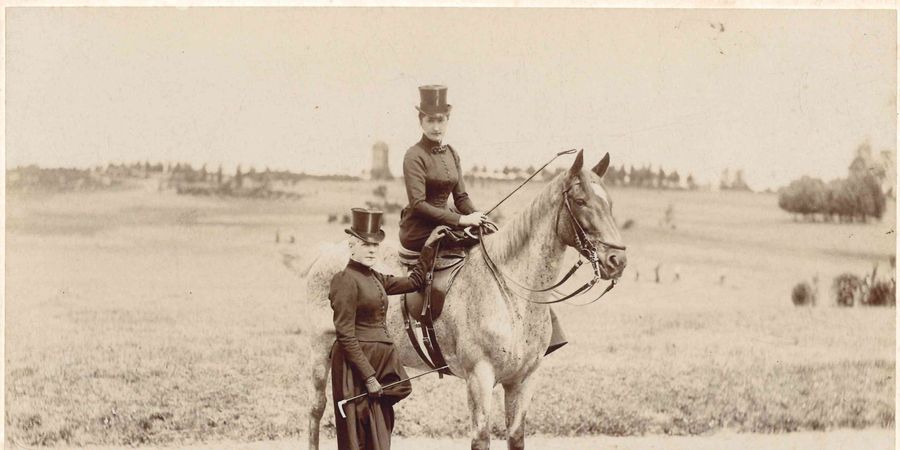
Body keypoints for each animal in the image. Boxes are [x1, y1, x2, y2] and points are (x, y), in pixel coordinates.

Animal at [300, 150, 627, 450]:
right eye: (581, 201)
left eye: (610, 204)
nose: (618, 260)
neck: (510, 293)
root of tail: (327, 253)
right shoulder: (479, 377)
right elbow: (480, 439)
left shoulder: (523, 380)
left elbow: (515, 437)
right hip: (321, 350)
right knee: (316, 409)